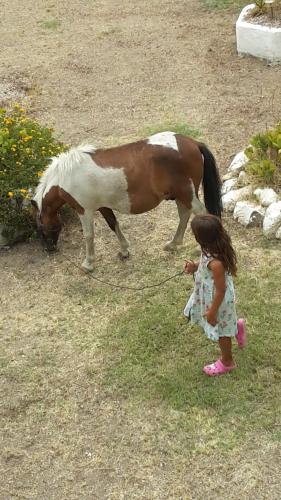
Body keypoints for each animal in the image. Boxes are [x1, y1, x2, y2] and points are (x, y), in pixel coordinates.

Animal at [31, 132, 221, 270]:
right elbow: (113, 224)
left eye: (40, 228)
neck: (66, 176)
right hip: (181, 195)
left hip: (186, 193)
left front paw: (88, 264)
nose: (49, 249)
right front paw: (124, 250)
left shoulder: (84, 210)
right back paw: (173, 244)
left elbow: (89, 235)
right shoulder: (103, 206)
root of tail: (193, 143)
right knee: (184, 215)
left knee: (200, 213)